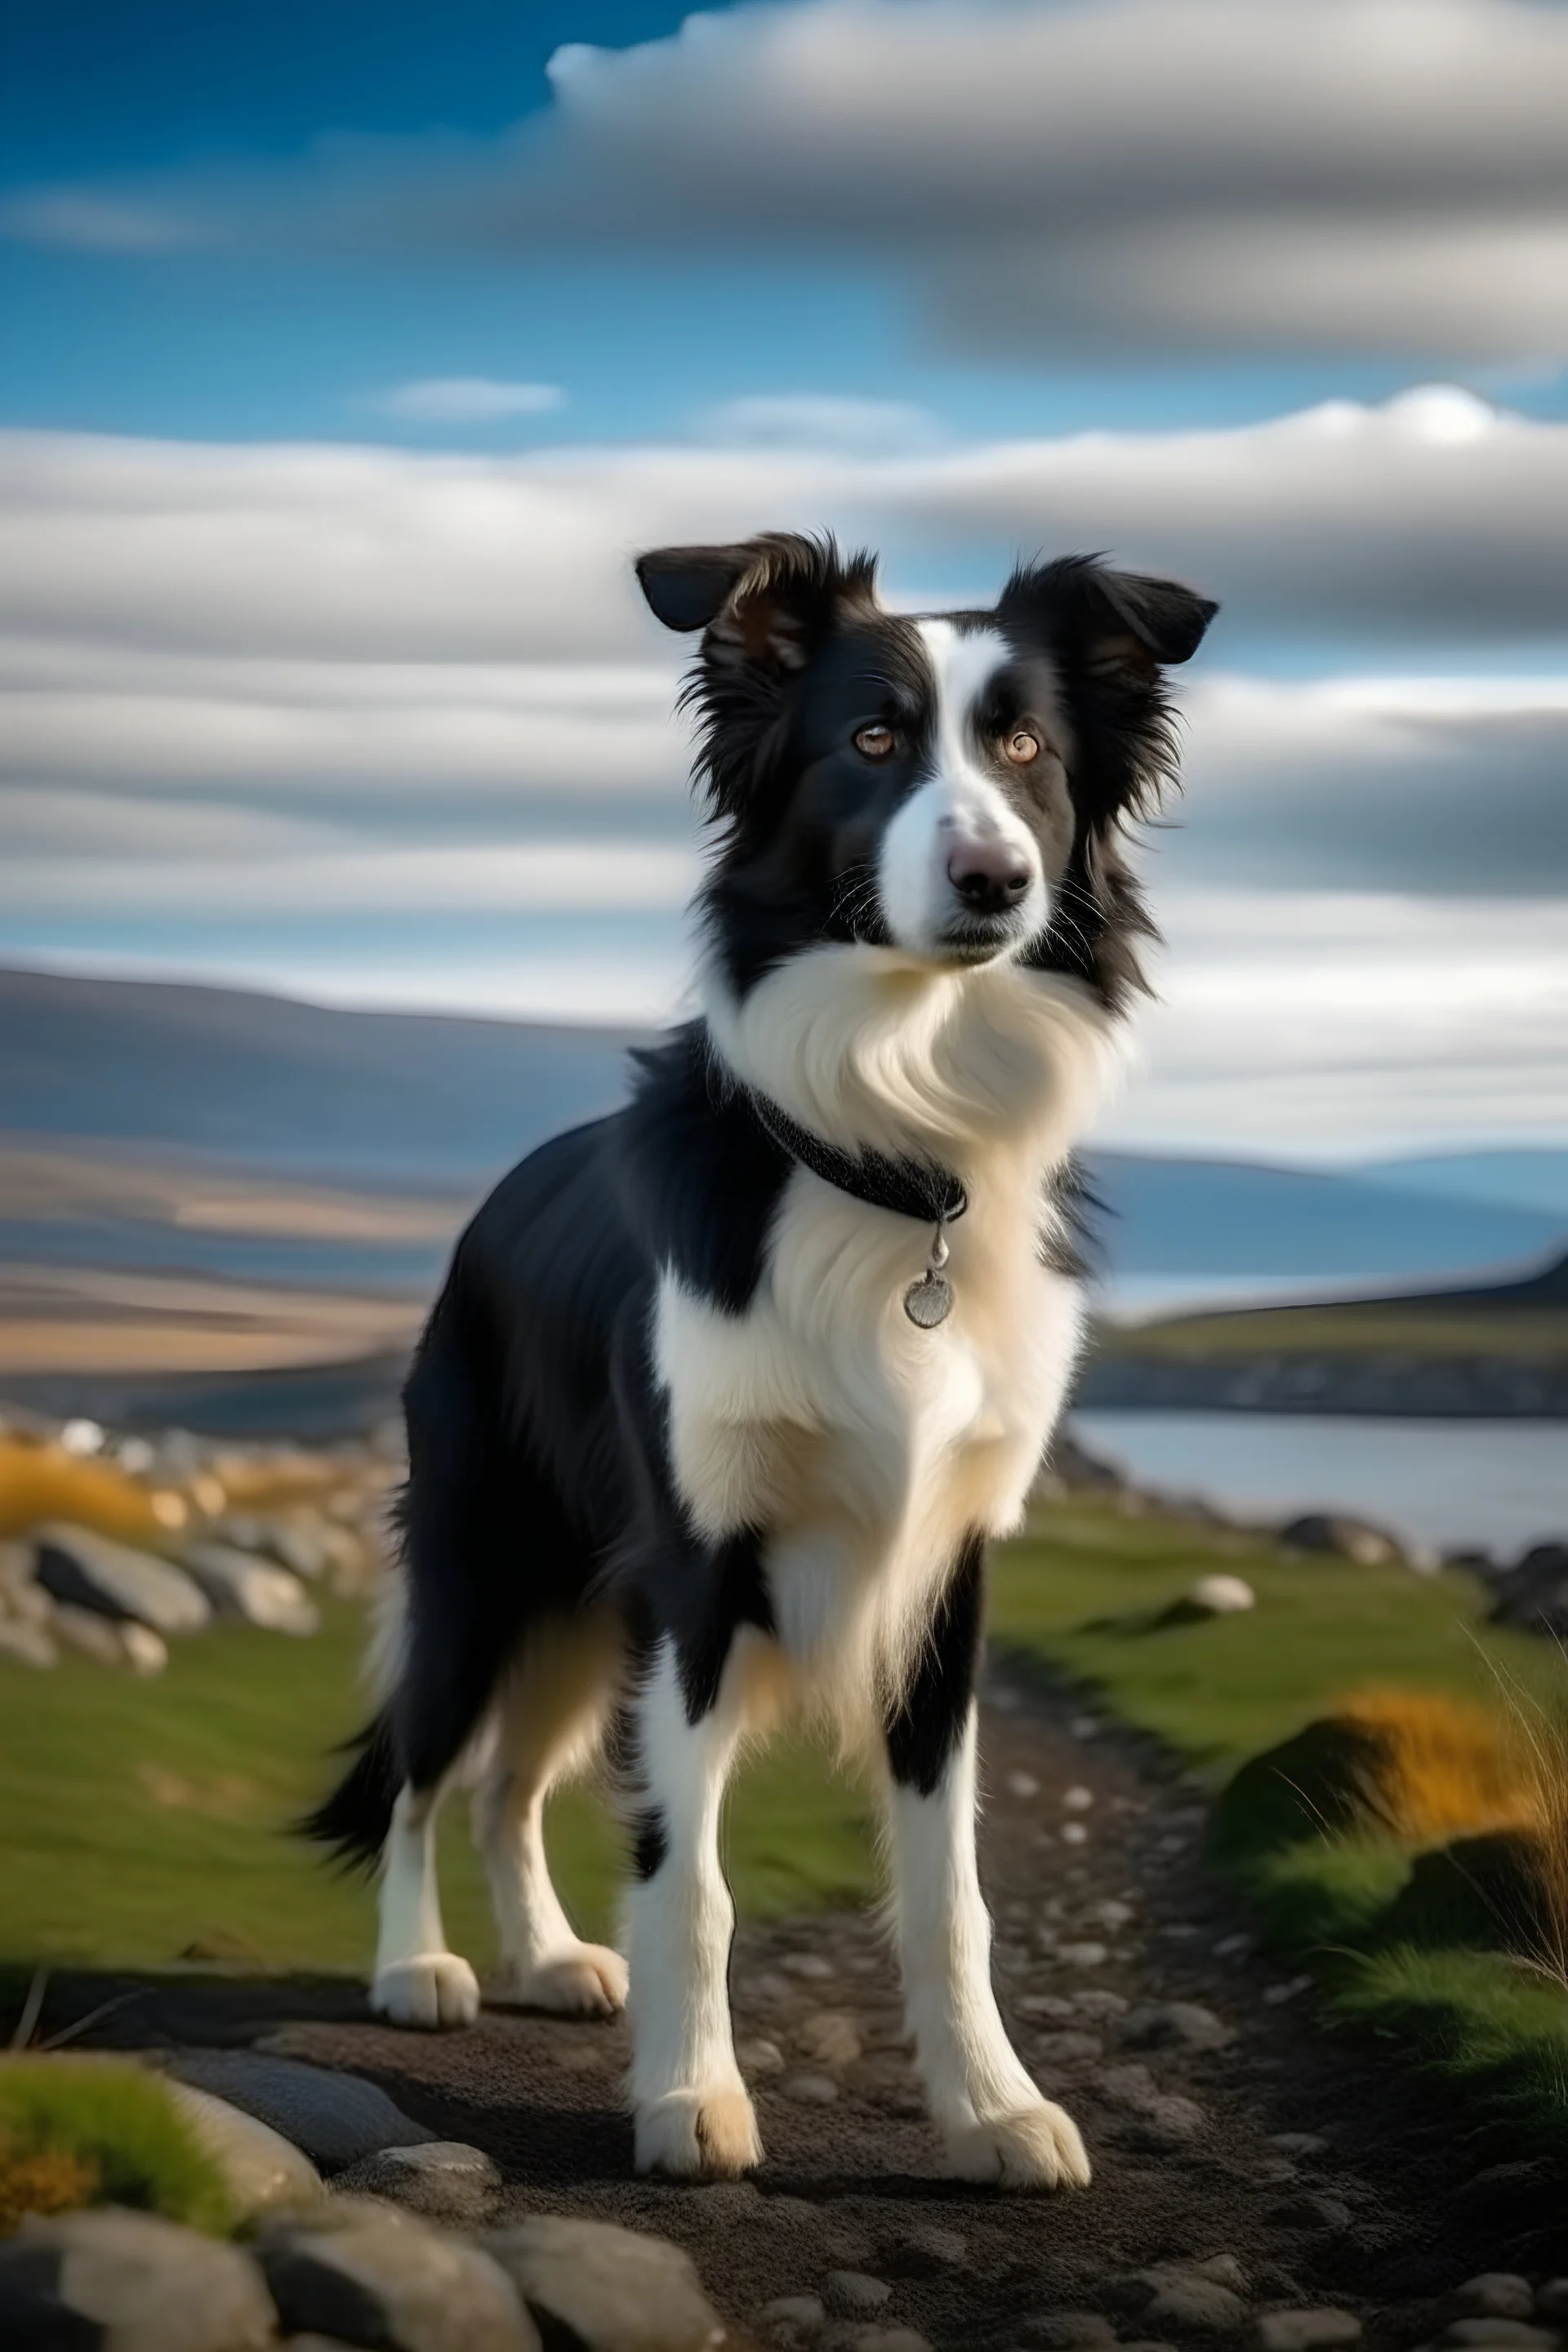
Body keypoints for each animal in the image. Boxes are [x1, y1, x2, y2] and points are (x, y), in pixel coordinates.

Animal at [305, 533, 1213, 2182]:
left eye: (1027, 751)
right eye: (873, 739)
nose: (995, 881)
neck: (897, 1155)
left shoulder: (949, 1574)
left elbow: (950, 1891)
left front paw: (992, 2106)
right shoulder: (702, 1567)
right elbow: (695, 1876)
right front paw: (692, 2099)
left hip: (587, 1609)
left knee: (509, 1787)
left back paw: (547, 1958)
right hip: (489, 1557)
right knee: (425, 1768)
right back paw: (420, 1967)